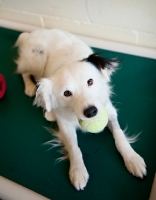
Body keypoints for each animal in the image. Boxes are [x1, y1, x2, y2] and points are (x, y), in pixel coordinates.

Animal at [14, 28, 146, 189]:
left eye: (90, 81)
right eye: (66, 93)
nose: (91, 112)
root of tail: (32, 33)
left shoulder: (109, 111)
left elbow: (119, 135)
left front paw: (132, 158)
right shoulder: (65, 124)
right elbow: (74, 147)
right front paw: (77, 170)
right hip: (37, 58)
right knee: (23, 71)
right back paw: (30, 87)